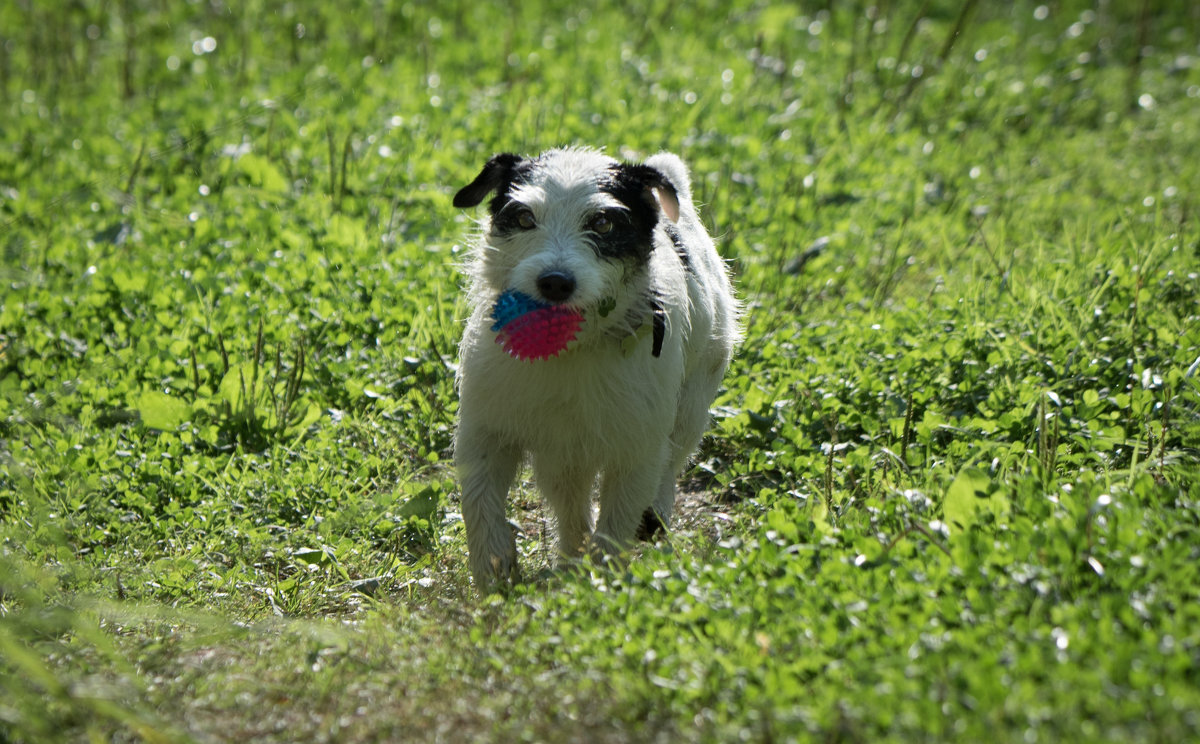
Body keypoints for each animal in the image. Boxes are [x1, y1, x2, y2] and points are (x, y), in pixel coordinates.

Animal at [451, 147, 734, 592]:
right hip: (564, 452)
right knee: (570, 505)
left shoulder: (637, 448)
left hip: (691, 405)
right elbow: (480, 499)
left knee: (671, 463)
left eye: (602, 223)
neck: (575, 351)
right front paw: (495, 569)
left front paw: (601, 585)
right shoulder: (487, 428)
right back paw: (569, 559)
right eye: (525, 217)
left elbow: (618, 519)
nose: (554, 282)